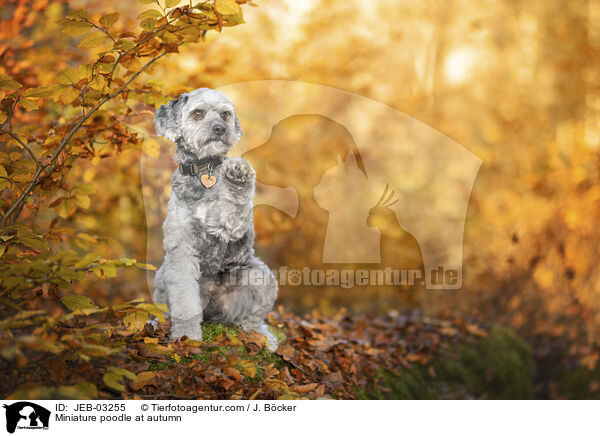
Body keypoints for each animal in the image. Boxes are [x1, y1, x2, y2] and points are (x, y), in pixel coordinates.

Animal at [151, 87, 280, 350]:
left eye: (224, 114)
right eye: (197, 113)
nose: (220, 128)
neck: (204, 170)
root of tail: (213, 313)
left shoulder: (231, 225)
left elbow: (233, 206)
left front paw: (239, 175)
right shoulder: (182, 250)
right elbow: (185, 303)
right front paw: (187, 335)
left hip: (261, 275)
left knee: (250, 320)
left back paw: (263, 337)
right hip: (162, 274)